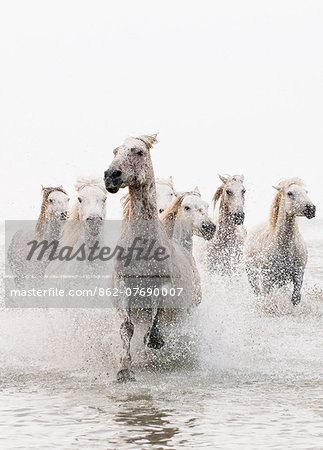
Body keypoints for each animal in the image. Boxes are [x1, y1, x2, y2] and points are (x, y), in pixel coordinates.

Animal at [104, 133, 215, 380]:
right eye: (115, 151)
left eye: (138, 151)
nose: (110, 175)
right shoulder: (123, 286)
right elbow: (127, 327)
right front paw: (124, 369)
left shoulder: (162, 286)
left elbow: (155, 321)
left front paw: (155, 341)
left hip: (188, 311)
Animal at [246, 178, 316, 306]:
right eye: (290, 193)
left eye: (306, 192)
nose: (311, 208)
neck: (284, 246)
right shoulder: (267, 279)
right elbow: (267, 297)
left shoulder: (298, 275)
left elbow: (295, 297)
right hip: (252, 275)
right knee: (257, 292)